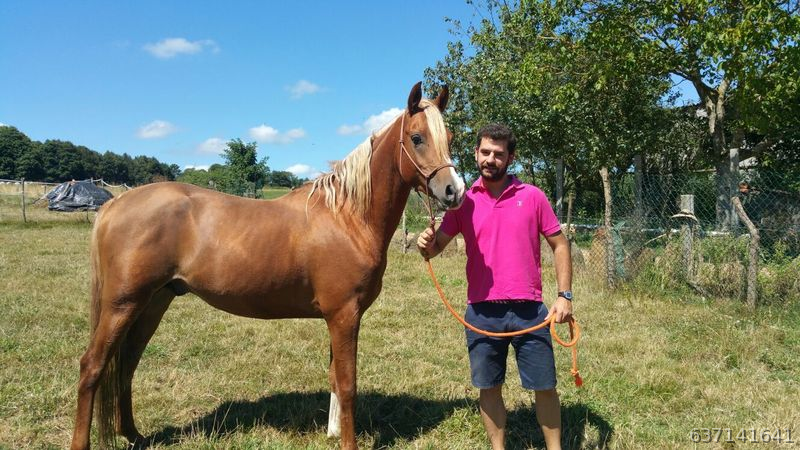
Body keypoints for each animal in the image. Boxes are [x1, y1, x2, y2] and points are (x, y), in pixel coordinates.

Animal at [70, 82, 465, 450]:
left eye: (448, 138)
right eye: (417, 138)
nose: (453, 191)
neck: (348, 217)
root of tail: (114, 204)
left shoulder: (338, 317)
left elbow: (335, 379)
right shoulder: (344, 315)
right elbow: (348, 384)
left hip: (154, 301)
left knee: (126, 365)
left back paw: (134, 435)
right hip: (122, 304)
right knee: (93, 366)